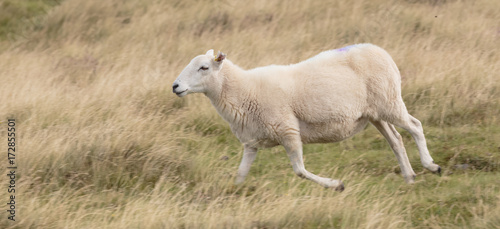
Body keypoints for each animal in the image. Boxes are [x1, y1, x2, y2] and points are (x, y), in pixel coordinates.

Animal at [173, 43, 442, 191]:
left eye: (204, 67)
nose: (175, 86)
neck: (243, 90)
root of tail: (380, 51)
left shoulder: (288, 129)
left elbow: (300, 170)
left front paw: (336, 185)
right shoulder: (251, 142)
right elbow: (240, 174)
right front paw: (232, 193)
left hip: (389, 102)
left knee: (415, 126)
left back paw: (431, 165)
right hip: (375, 113)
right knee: (396, 140)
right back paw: (409, 176)